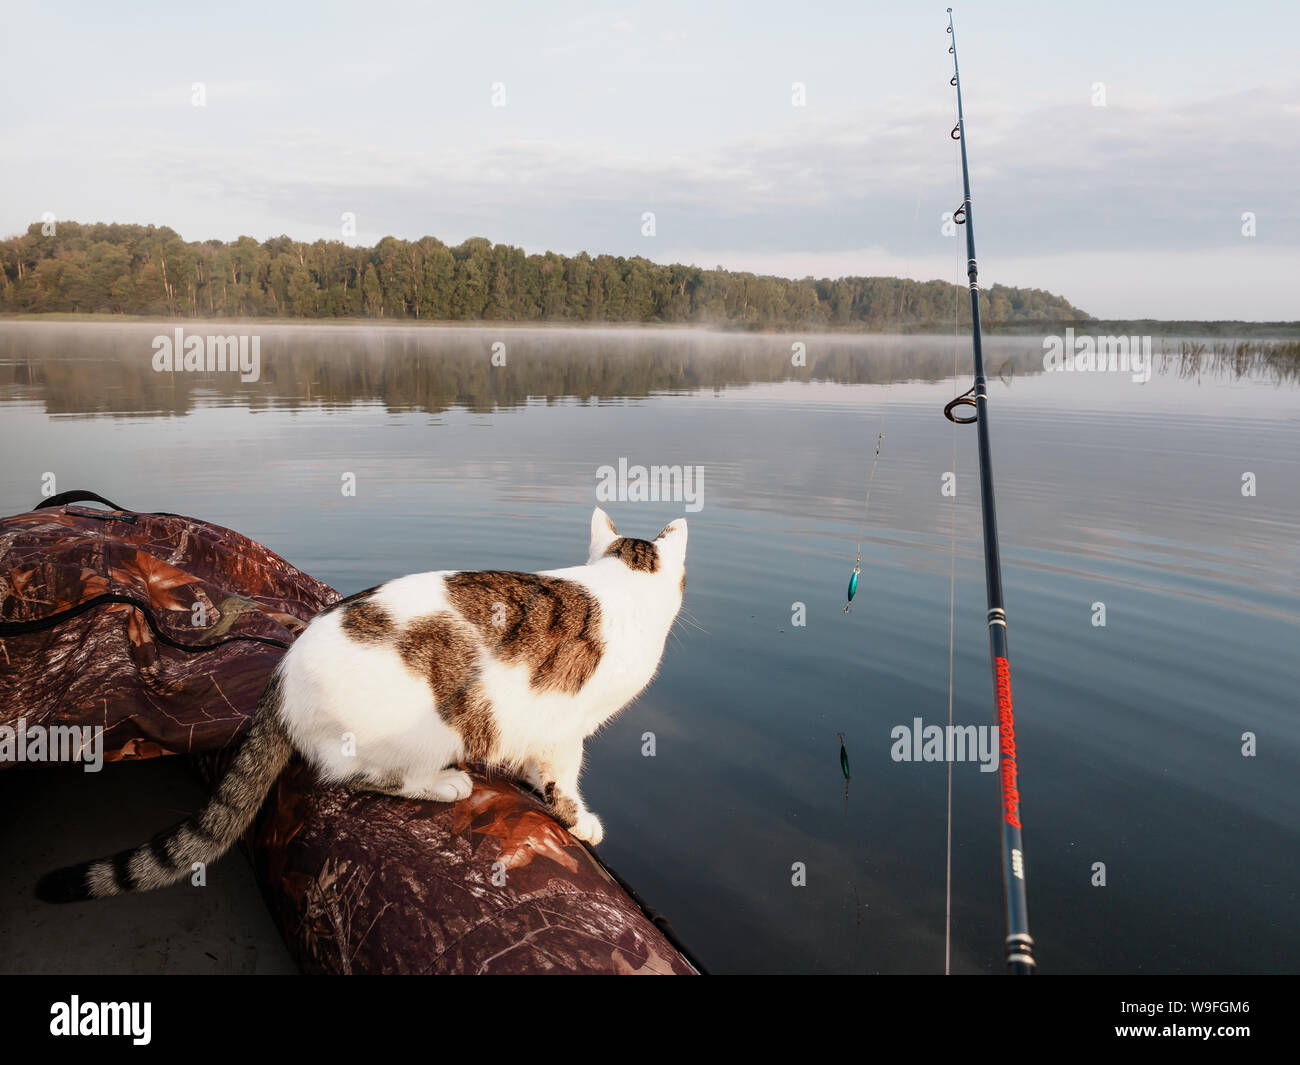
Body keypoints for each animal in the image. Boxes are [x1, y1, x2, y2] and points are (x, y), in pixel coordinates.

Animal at [35, 507, 686, 899]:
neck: (618, 586)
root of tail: (281, 680)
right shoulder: (566, 728)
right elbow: (563, 780)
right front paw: (580, 821)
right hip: (427, 729)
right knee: (359, 776)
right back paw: (444, 783)